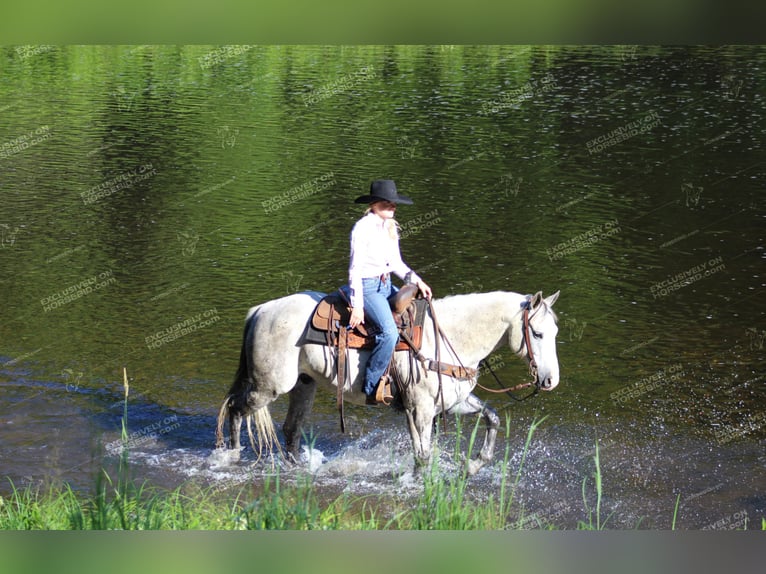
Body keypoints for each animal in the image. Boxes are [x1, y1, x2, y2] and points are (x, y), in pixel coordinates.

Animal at [219, 290, 560, 474]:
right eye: (538, 333)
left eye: (555, 332)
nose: (550, 380)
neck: (447, 337)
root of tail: (261, 310)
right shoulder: (420, 408)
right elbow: (423, 455)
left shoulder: (452, 402)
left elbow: (492, 418)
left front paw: (473, 465)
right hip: (268, 386)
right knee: (235, 410)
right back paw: (230, 457)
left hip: (304, 384)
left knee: (290, 429)